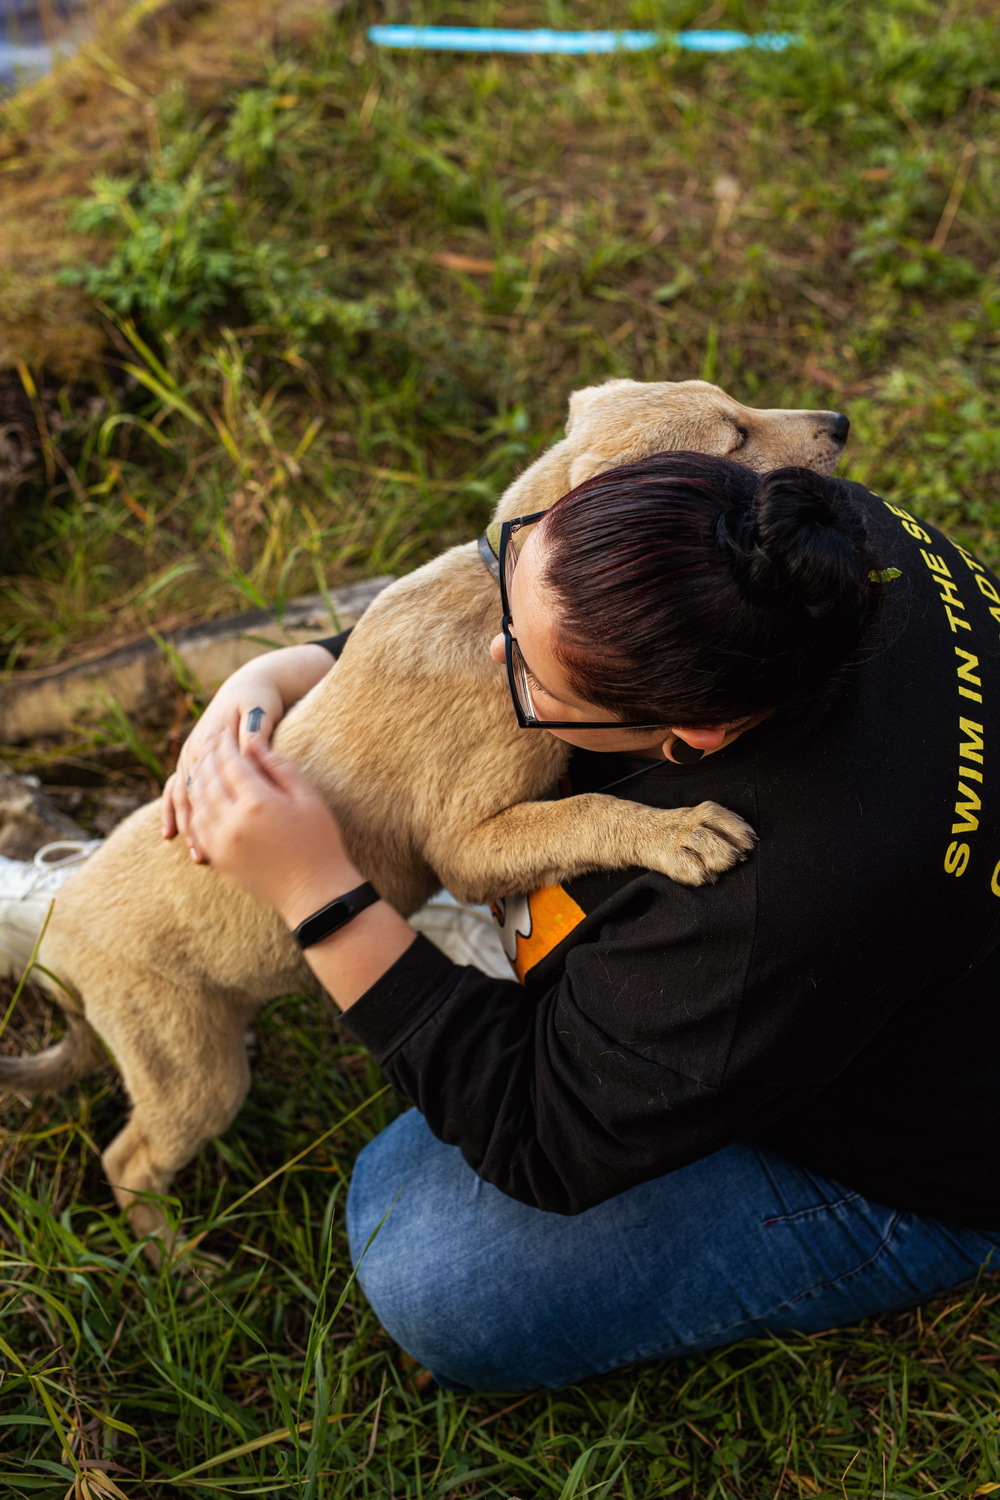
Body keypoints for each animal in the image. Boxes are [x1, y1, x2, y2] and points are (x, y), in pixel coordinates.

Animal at [1, 378, 851, 1254]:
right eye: (732, 440)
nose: (841, 425)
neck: (501, 615)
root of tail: (56, 933)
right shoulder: (462, 847)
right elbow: (581, 809)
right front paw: (679, 833)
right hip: (191, 1071)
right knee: (129, 1159)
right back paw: (176, 1257)